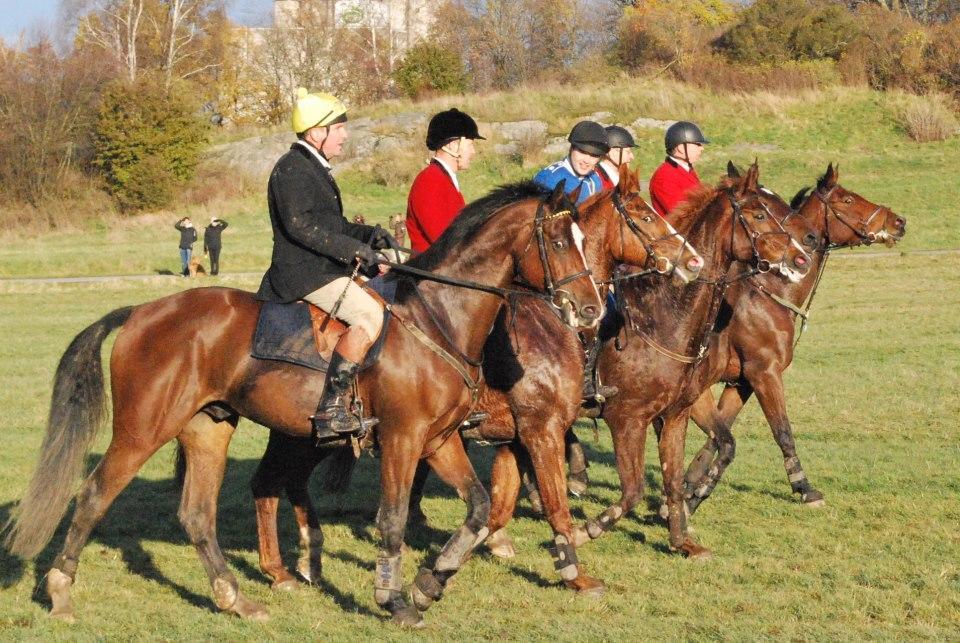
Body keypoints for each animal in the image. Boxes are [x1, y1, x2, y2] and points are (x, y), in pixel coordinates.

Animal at [3, 182, 604, 628]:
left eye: (584, 236)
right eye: (558, 241)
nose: (591, 309)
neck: (439, 317)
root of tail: (141, 312)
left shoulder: (437, 440)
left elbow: (478, 509)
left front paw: (430, 583)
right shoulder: (404, 439)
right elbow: (392, 521)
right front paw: (393, 600)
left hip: (208, 428)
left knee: (197, 514)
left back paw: (236, 598)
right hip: (141, 430)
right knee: (93, 497)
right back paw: (61, 592)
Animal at [244, 165, 700, 600]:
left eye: (579, 239)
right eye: (646, 215)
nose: (693, 262)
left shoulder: (515, 437)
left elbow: (499, 505)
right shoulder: (545, 429)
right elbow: (556, 503)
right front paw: (574, 570)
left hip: (302, 435)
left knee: (279, 482)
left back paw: (296, 564)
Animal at [568, 165, 812, 560]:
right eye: (759, 213)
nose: (802, 255)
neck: (664, 317)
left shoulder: (683, 409)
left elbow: (685, 466)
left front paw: (682, 532)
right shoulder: (628, 420)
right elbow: (634, 489)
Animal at [680, 165, 912, 512]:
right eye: (847, 199)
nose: (898, 222)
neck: (769, 293)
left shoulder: (742, 382)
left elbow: (718, 430)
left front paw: (690, 482)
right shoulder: (764, 374)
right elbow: (782, 432)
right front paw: (803, 486)